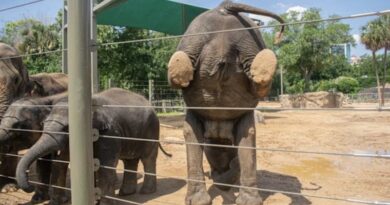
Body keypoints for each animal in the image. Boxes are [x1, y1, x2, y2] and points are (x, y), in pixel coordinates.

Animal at [15, 88, 171, 205]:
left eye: (66, 128)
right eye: (43, 124)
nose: (30, 185)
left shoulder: (109, 133)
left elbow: (106, 165)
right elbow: (61, 162)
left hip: (151, 129)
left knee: (147, 158)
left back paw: (146, 192)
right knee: (130, 160)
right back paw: (125, 193)